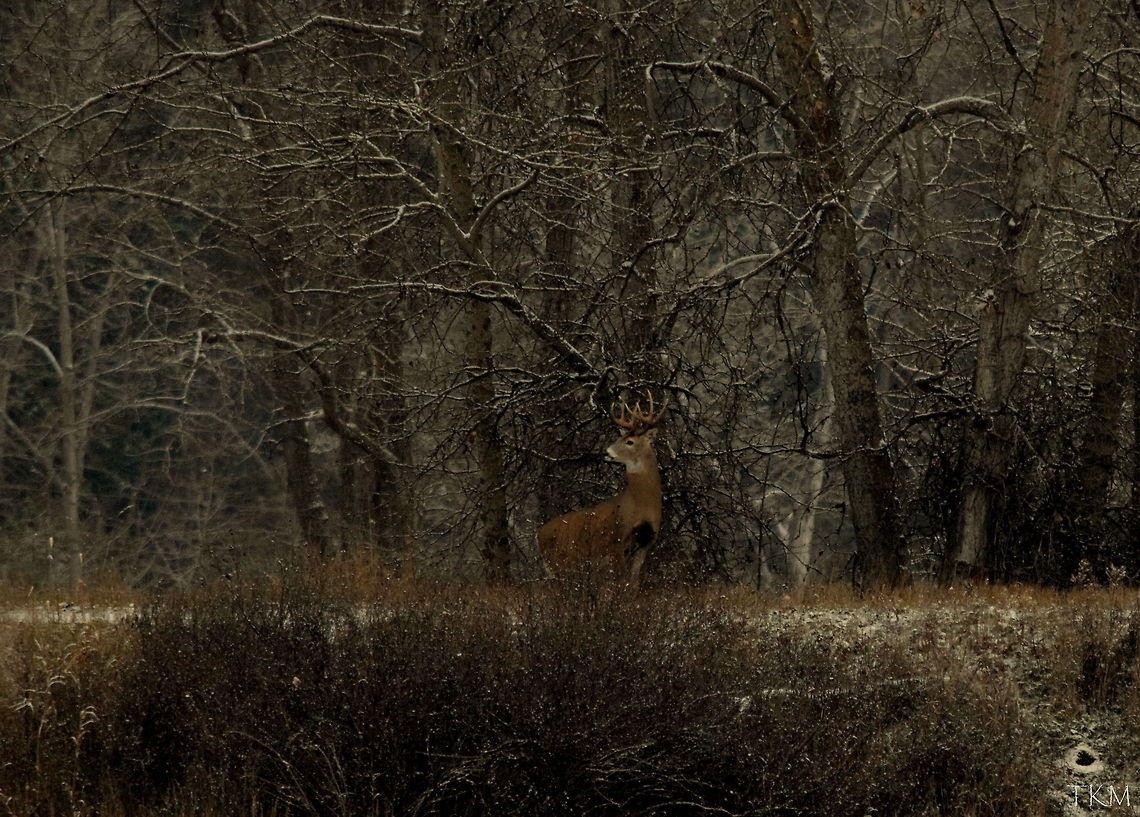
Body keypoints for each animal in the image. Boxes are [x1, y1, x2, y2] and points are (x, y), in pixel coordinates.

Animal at [537, 391, 666, 582]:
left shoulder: (647, 542)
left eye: (630, 442)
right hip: (557, 563)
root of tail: (538, 534)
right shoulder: (617, 541)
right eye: (619, 437)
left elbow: (633, 582)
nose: (607, 452)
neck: (642, 506)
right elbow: (621, 581)